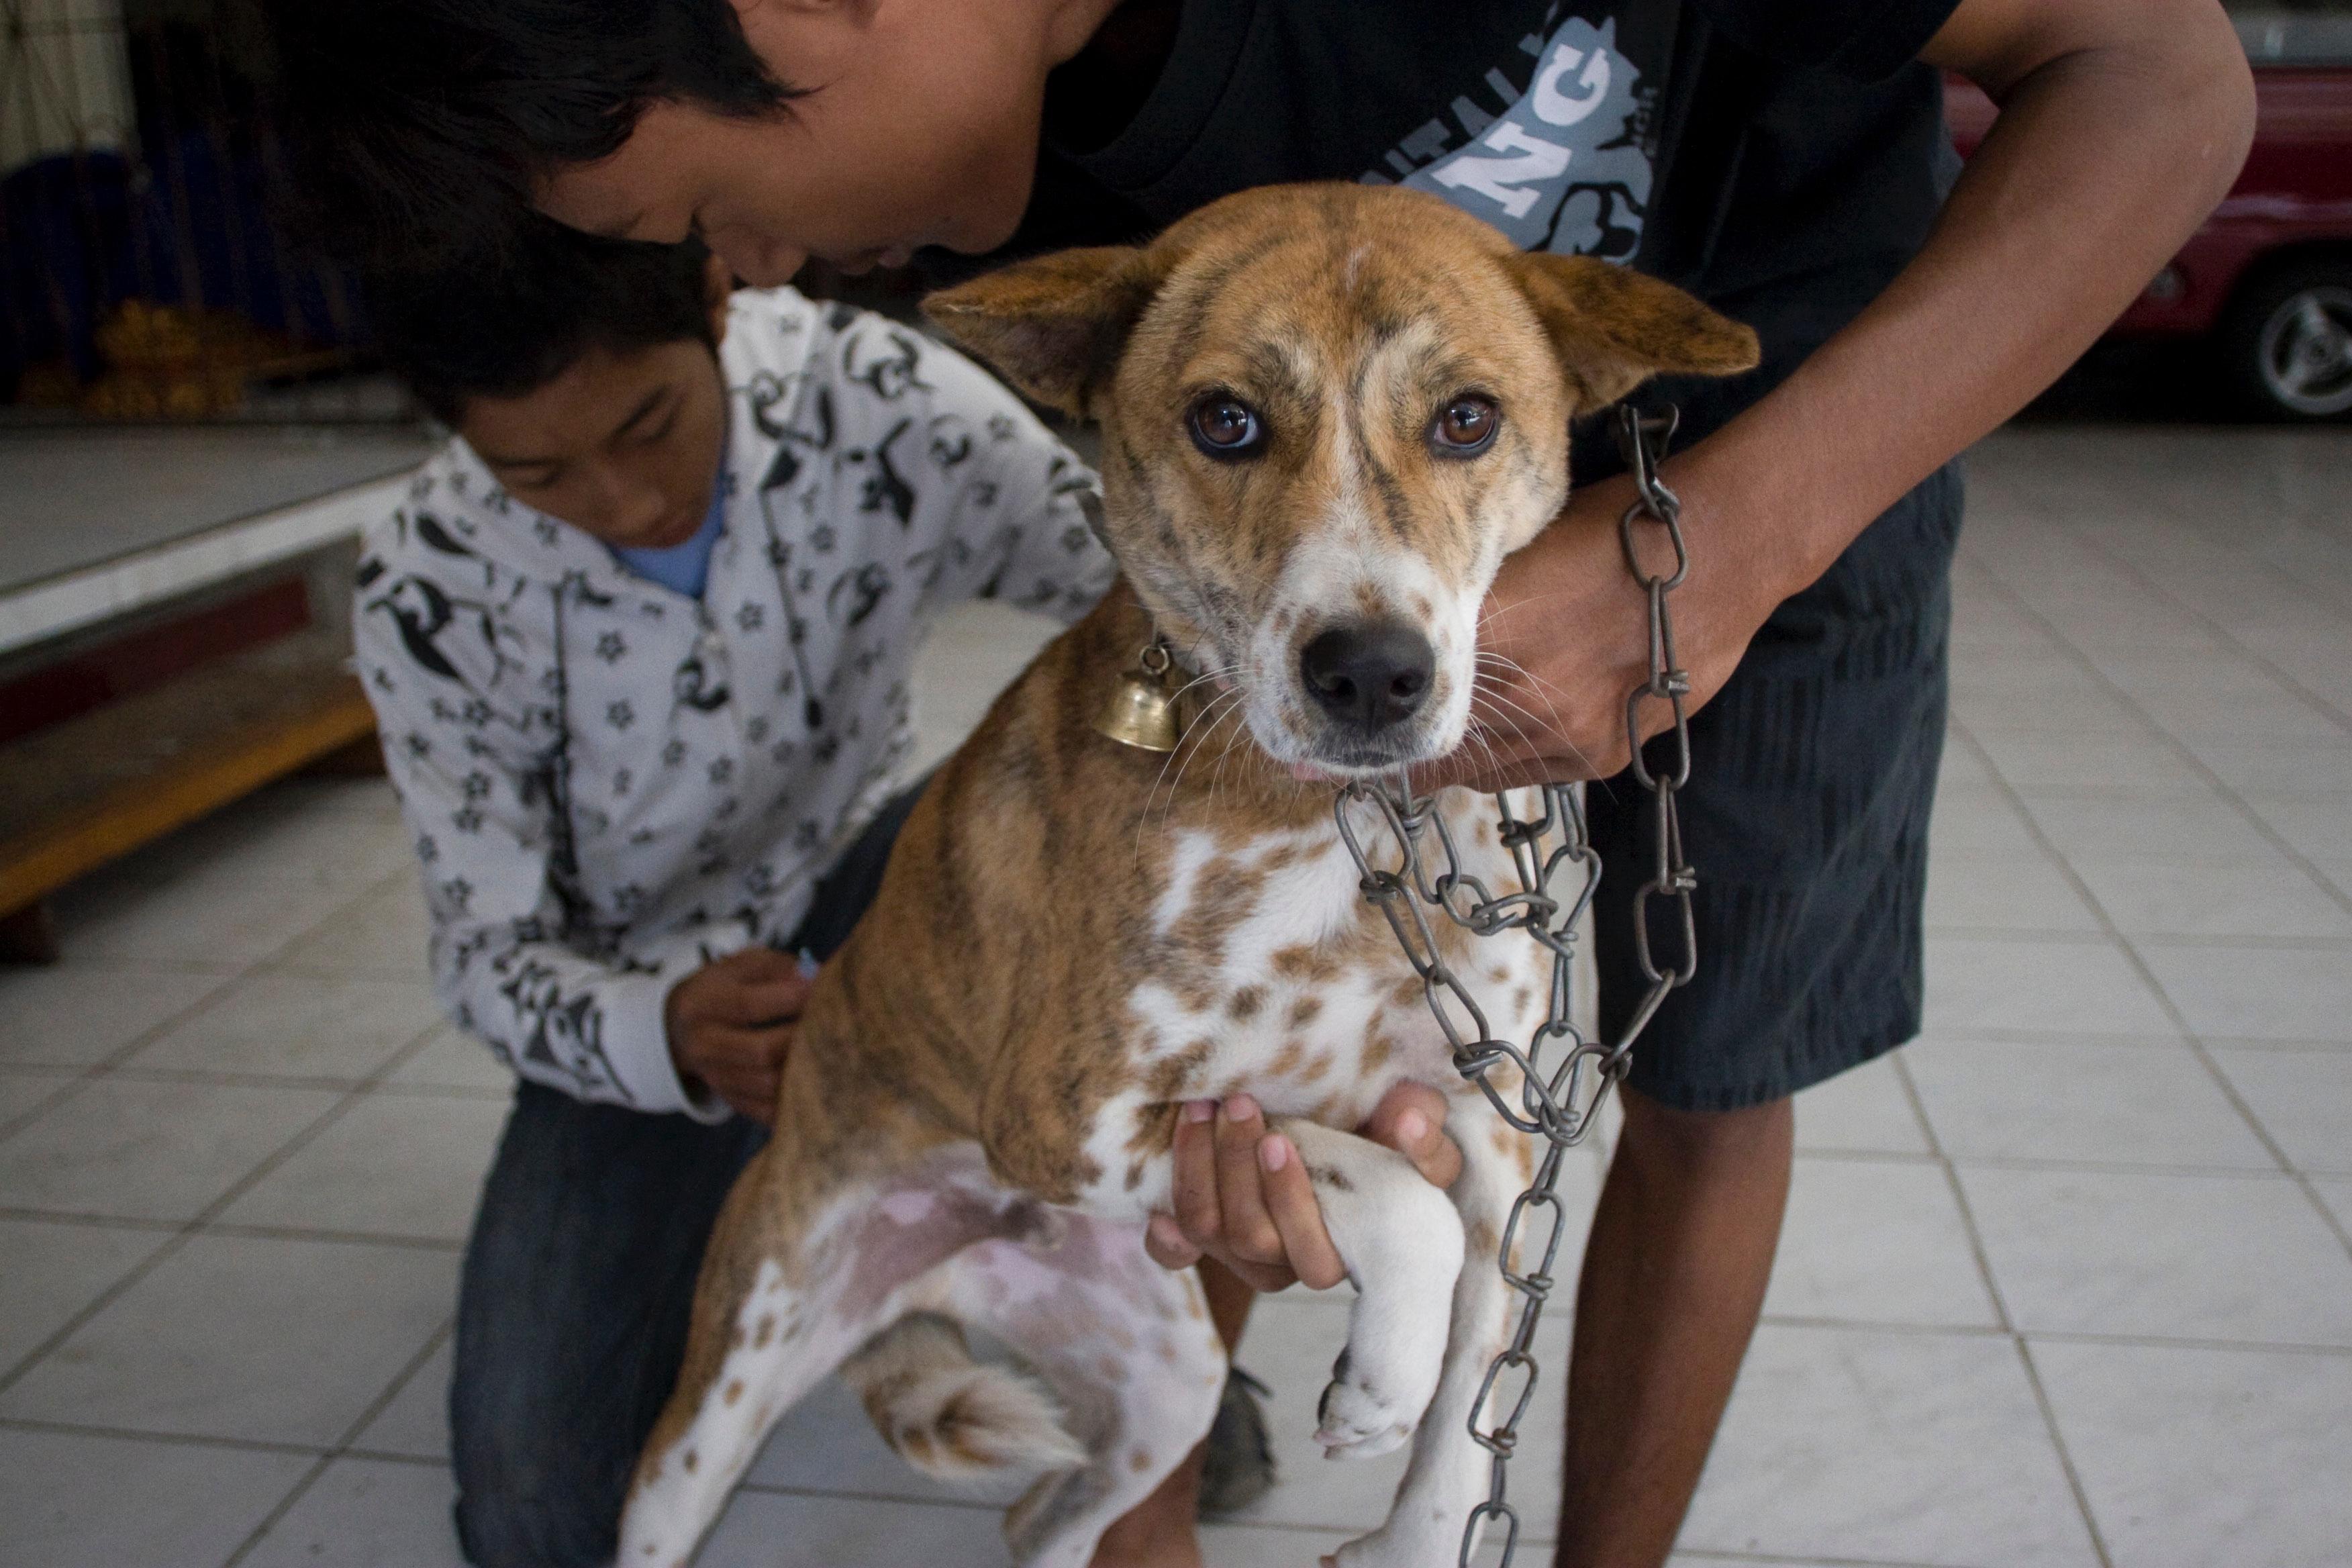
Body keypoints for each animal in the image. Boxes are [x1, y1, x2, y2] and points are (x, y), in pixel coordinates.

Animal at [616, 187, 1759, 1568]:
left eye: (1467, 417)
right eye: (1225, 420)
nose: (1372, 674)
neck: (1355, 832)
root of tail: (952, 1257)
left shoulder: (1496, 1126)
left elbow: (1471, 1399)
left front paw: (1412, 1503)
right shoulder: (1069, 1114)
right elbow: (1382, 1190)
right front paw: (1380, 1378)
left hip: (1167, 1380)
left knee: (1042, 1518)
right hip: (727, 1385)